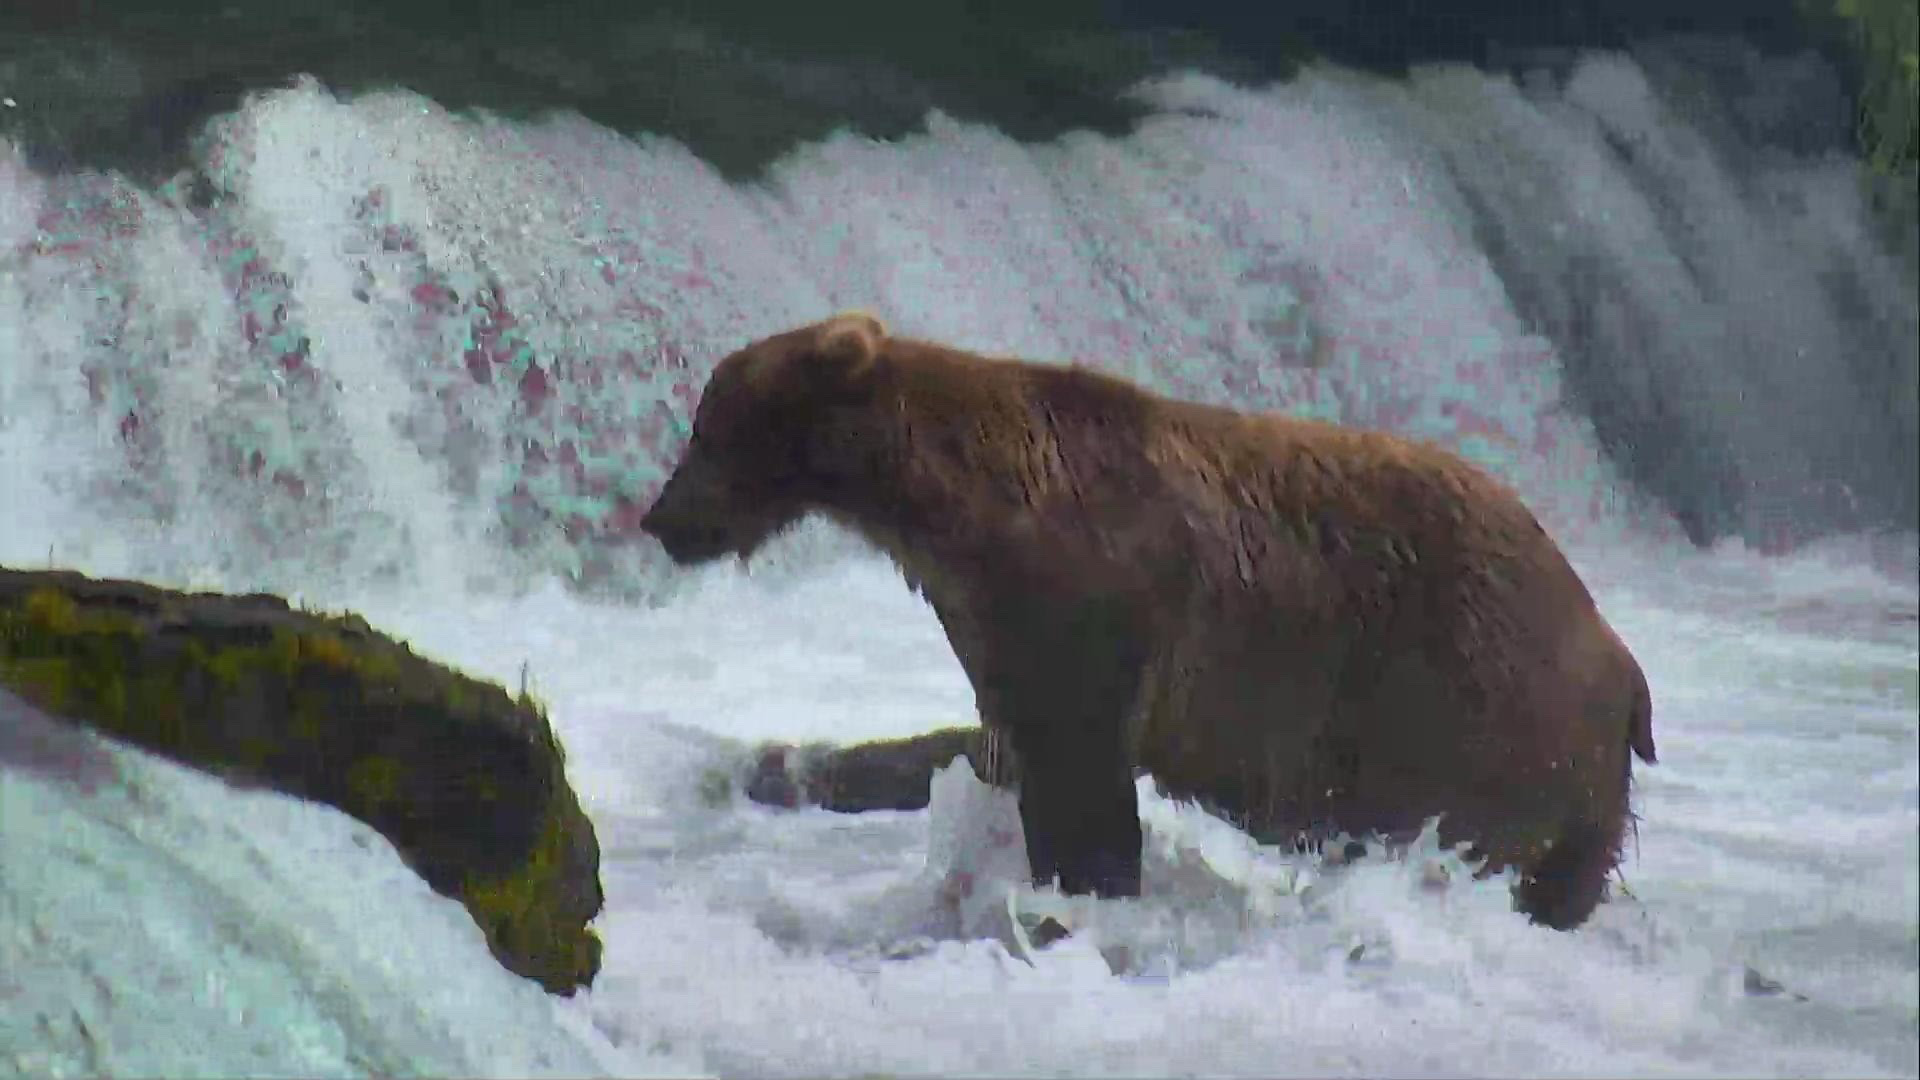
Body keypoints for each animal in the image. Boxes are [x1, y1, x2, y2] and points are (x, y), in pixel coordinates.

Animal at [637, 309, 1658, 926]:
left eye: (706, 429)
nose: (660, 520)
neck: (955, 509)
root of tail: (1615, 646)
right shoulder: (997, 627)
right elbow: (997, 747)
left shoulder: (1089, 600)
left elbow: (1081, 772)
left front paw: (1081, 895)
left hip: (1477, 713)